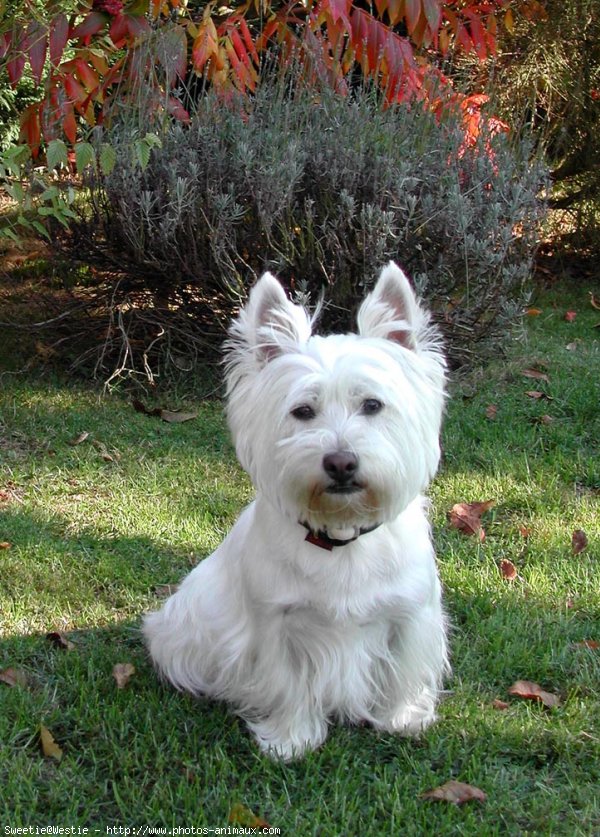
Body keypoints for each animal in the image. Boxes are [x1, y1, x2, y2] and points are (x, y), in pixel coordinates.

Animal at [143, 262, 448, 756]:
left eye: (373, 405)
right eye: (303, 411)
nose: (341, 462)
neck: (341, 536)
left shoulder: (410, 613)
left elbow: (403, 667)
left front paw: (401, 718)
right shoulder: (276, 622)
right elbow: (287, 682)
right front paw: (290, 740)